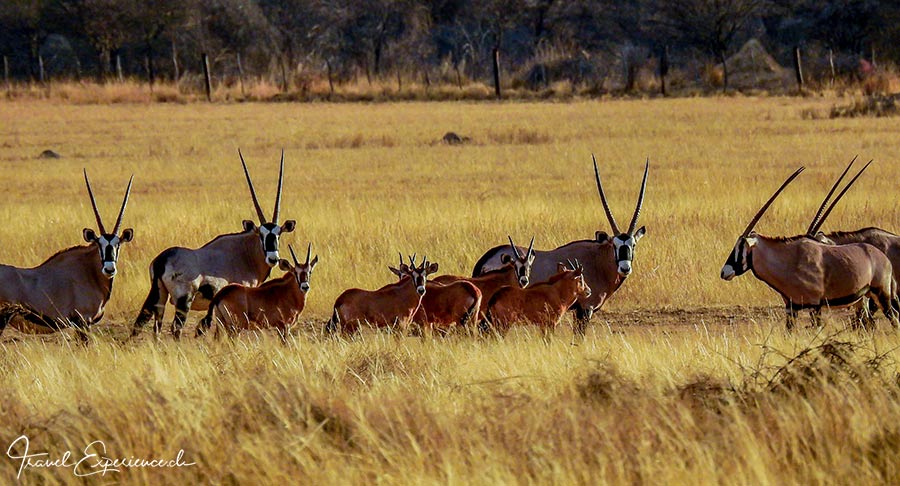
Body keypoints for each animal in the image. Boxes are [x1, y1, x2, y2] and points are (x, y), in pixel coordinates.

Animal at [130, 150, 296, 340]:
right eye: (261, 234)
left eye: (278, 234)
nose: (273, 258)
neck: (245, 254)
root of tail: (162, 260)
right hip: (183, 300)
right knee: (176, 328)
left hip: (159, 296)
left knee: (146, 324)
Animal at [472, 155, 648, 334]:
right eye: (614, 245)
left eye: (633, 245)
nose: (625, 268)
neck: (598, 260)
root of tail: (487, 258)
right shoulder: (585, 309)